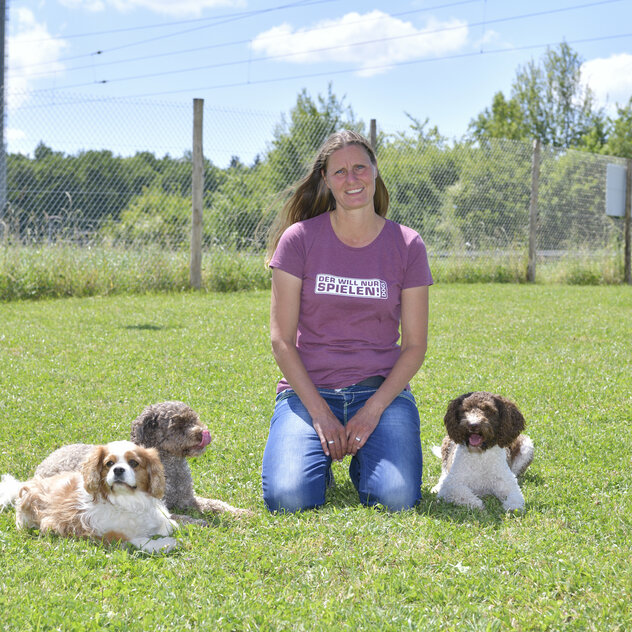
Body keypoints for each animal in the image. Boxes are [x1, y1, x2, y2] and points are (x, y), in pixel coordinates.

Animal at [32, 404, 249, 524]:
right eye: (177, 424)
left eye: (194, 419)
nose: (202, 433)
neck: (172, 467)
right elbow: (179, 517)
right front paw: (202, 522)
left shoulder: (188, 499)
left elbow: (217, 504)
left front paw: (240, 513)